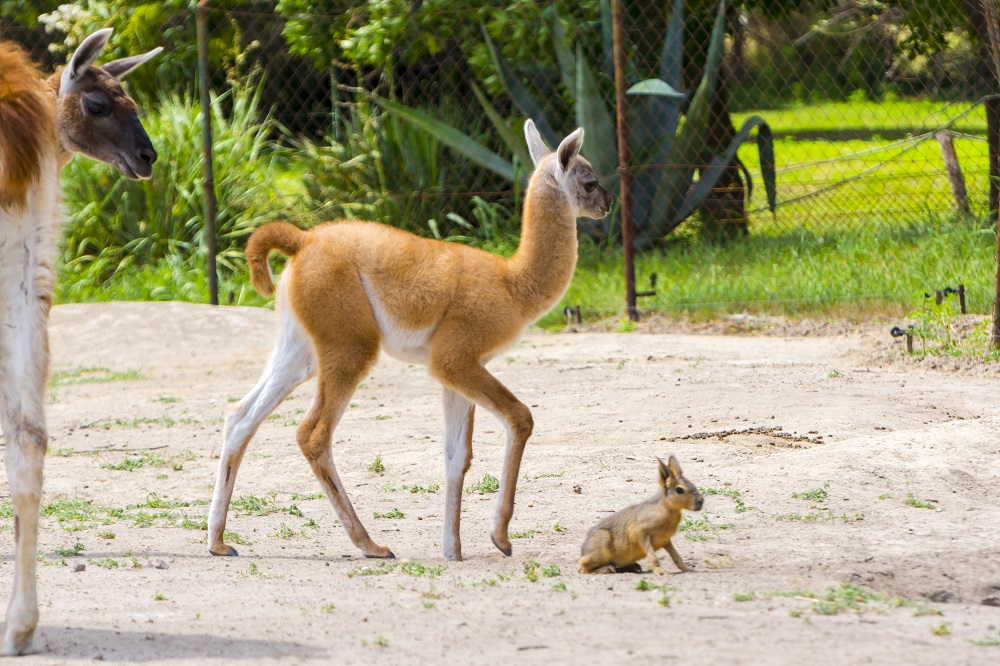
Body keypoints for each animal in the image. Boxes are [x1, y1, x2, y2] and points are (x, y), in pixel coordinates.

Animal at [208, 120, 612, 560]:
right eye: (589, 182)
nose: (609, 204)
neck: (512, 284)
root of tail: (303, 241)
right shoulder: (455, 356)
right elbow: (521, 417)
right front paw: (500, 537)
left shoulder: (457, 370)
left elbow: (457, 456)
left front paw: (452, 550)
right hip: (350, 343)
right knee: (312, 435)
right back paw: (369, 544)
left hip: (302, 348)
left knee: (240, 417)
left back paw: (218, 541)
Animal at [576, 454, 708, 572]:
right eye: (679, 490)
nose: (701, 501)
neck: (667, 511)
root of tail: (583, 549)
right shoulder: (638, 531)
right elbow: (653, 557)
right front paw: (660, 572)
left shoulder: (665, 540)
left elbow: (677, 558)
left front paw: (688, 570)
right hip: (602, 546)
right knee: (582, 566)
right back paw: (606, 569)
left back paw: (631, 567)